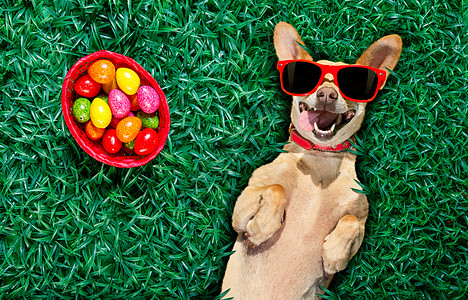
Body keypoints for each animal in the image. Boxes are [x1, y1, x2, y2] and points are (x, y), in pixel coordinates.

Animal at [222, 22, 402, 298]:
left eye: (352, 84)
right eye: (307, 79)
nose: (327, 94)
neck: (320, 159)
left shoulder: (361, 223)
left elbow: (351, 221)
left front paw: (334, 254)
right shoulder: (240, 214)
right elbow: (275, 188)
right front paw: (264, 228)